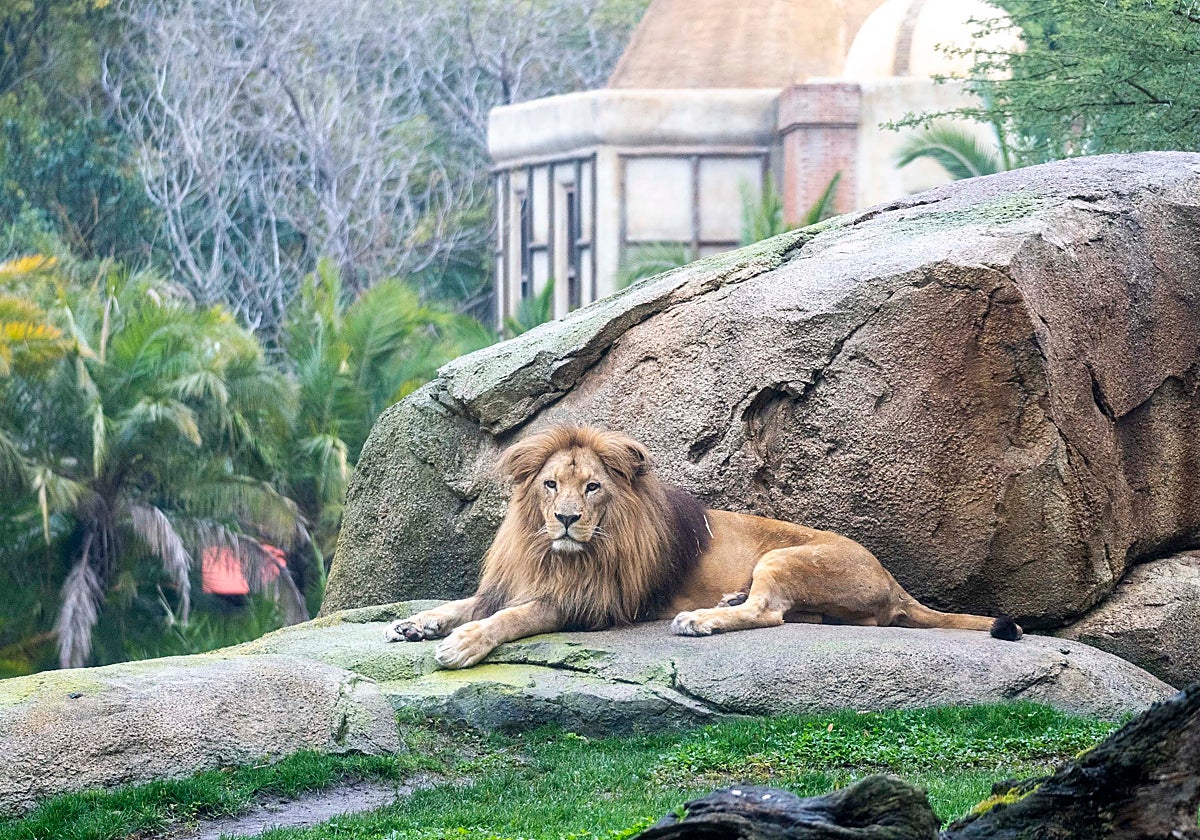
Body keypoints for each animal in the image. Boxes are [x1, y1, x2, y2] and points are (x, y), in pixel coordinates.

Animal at [384, 425, 1022, 668]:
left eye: (591, 487)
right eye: (549, 485)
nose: (565, 519)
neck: (557, 553)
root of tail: (893, 583)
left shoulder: (589, 603)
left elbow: (511, 618)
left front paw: (462, 644)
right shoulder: (513, 579)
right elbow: (466, 604)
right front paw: (418, 624)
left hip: (784, 555)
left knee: (768, 612)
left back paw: (703, 620)